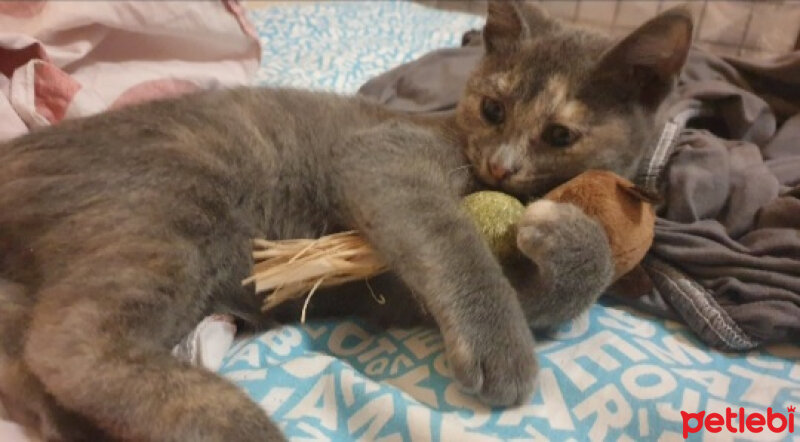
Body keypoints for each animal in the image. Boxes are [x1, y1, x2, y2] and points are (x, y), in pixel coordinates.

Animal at [0, 3, 688, 442]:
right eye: (493, 108)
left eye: (560, 134)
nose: (501, 164)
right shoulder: (383, 156)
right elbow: (451, 235)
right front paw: (503, 347)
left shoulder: (401, 294)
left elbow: (560, 285)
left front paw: (560, 233)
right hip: (172, 203)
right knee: (70, 343)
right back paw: (241, 427)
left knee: (32, 361)